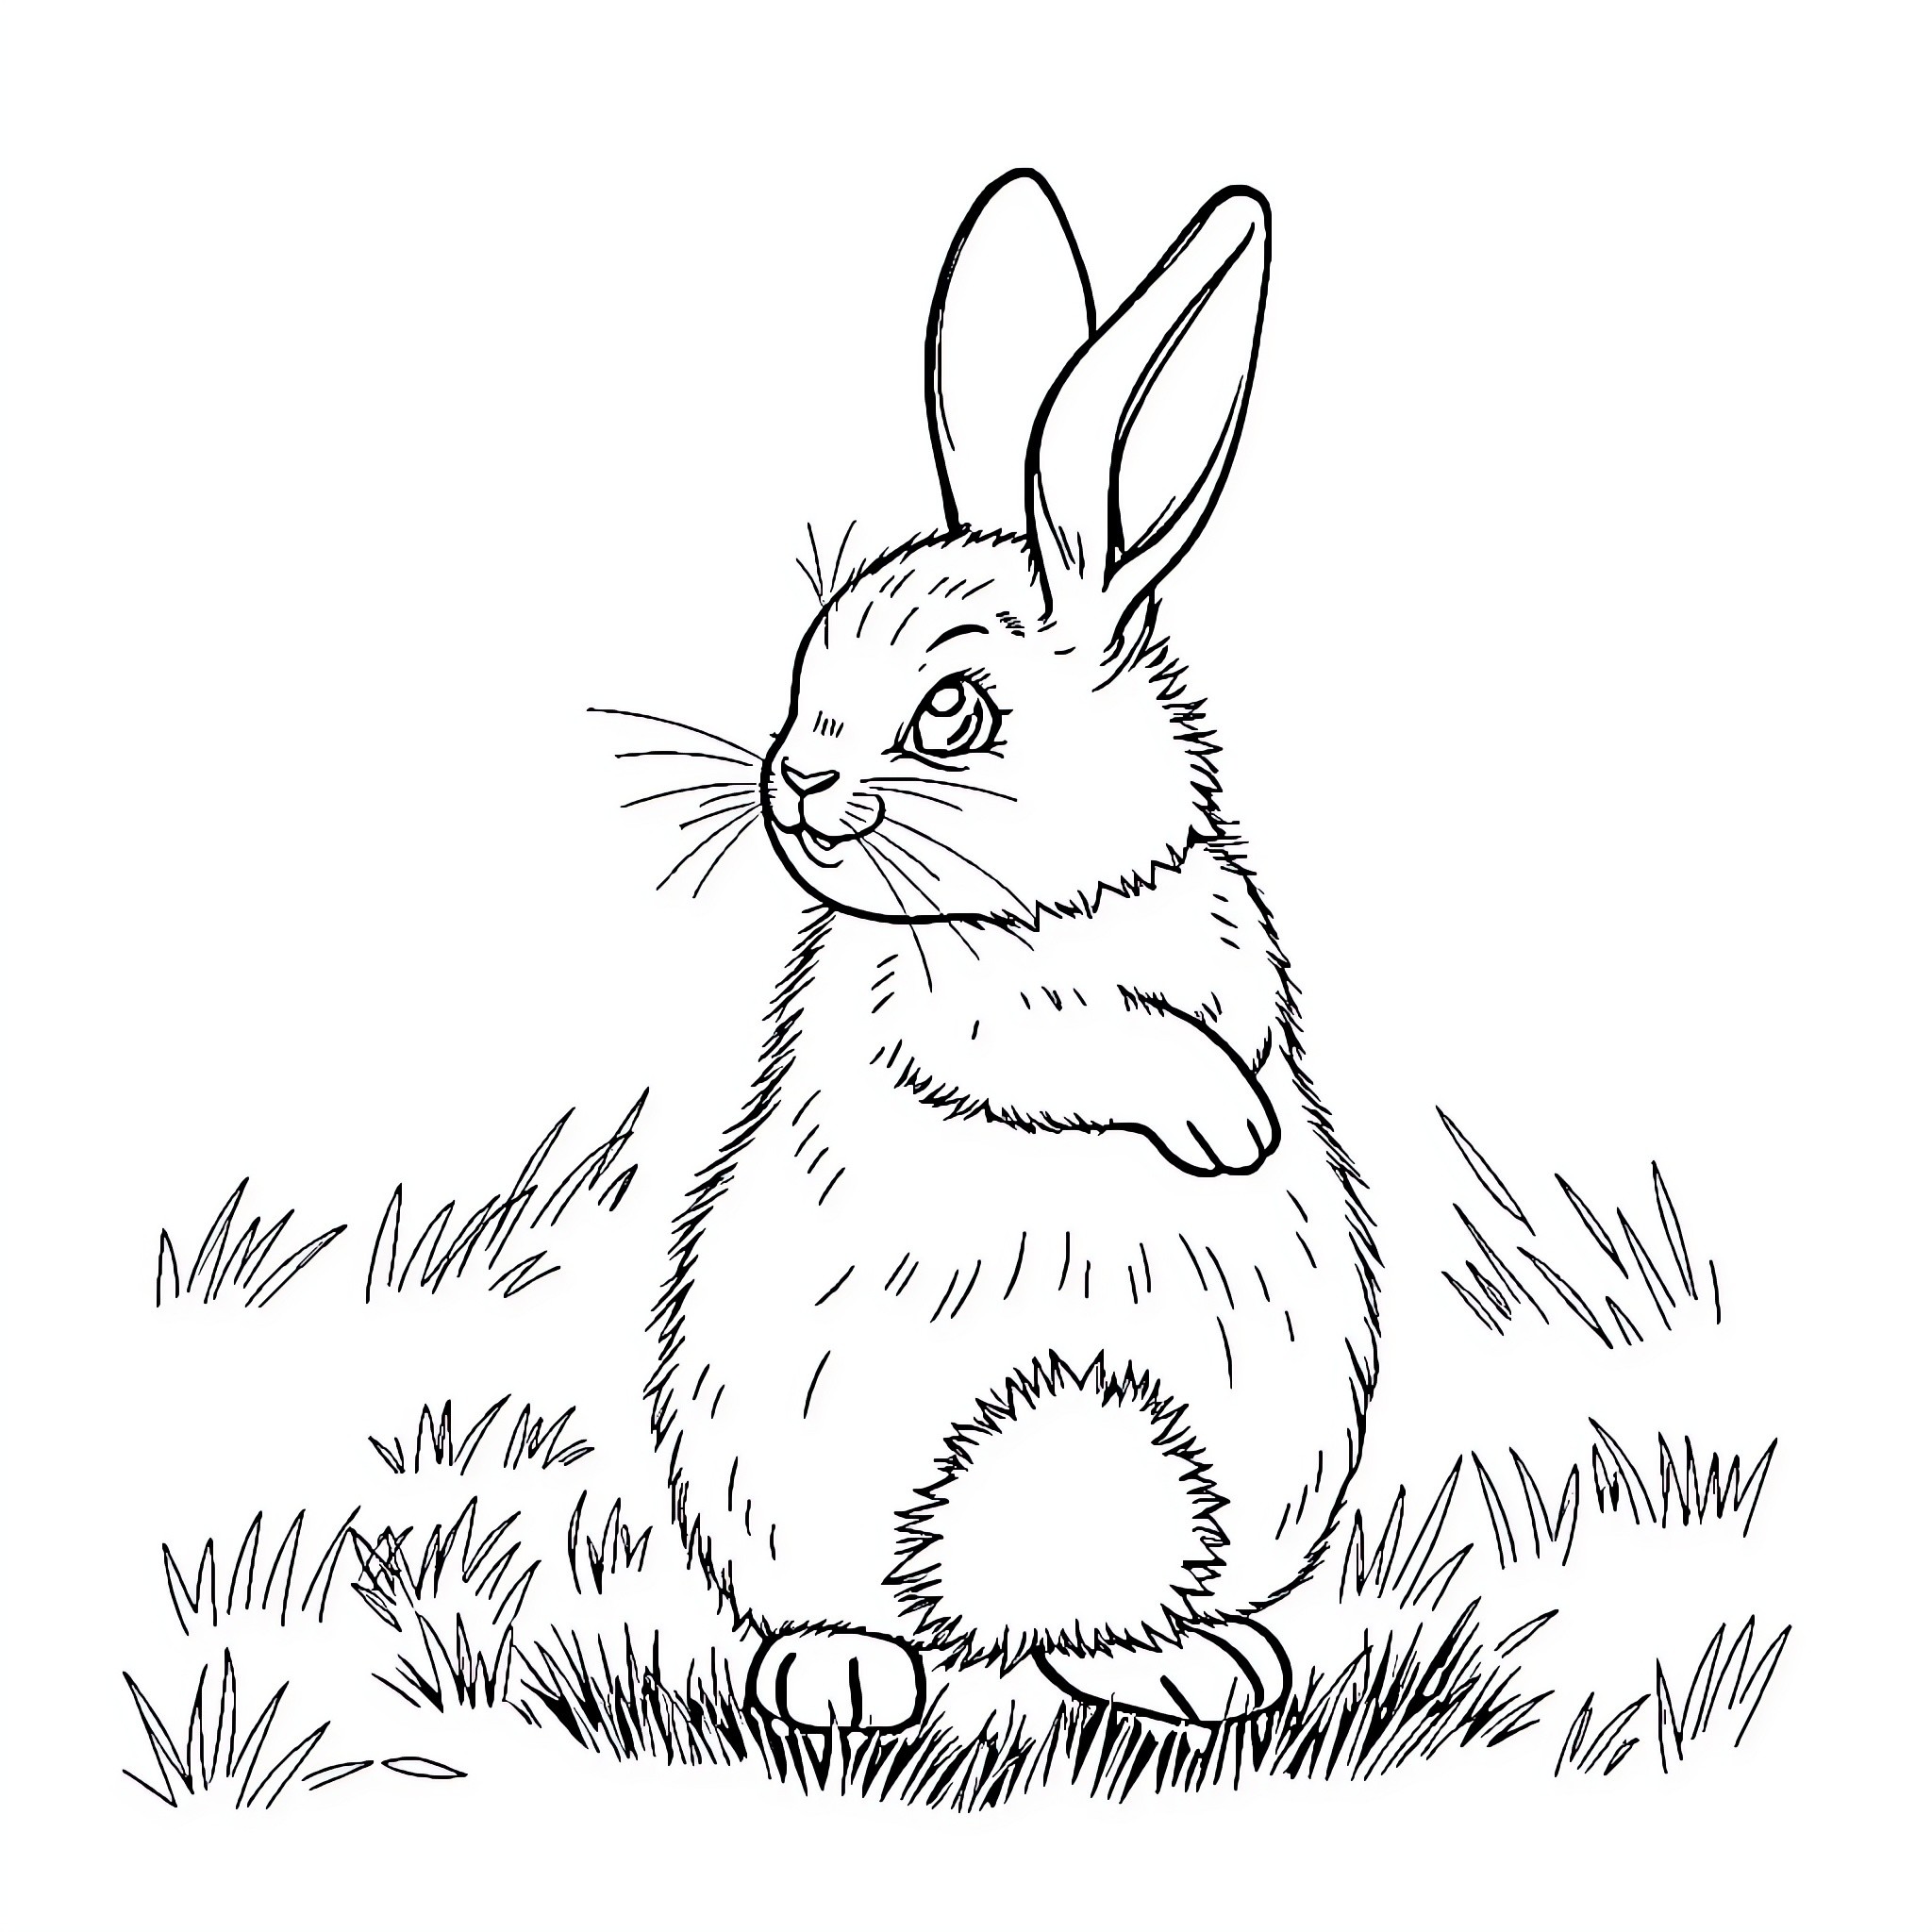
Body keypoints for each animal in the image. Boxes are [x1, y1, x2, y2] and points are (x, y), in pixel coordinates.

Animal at [644, 170, 1379, 1731]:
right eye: (805, 664)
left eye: (952, 712)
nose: (793, 786)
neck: (1052, 907)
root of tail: (1010, 1591)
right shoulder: (948, 1016)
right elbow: (1068, 1045)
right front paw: (1227, 1124)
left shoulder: (1226, 952)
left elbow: (1205, 1016)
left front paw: (1242, 1120)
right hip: (798, 1486)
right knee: (856, 1609)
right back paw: (847, 1679)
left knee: (1119, 1620)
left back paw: (1200, 1667)